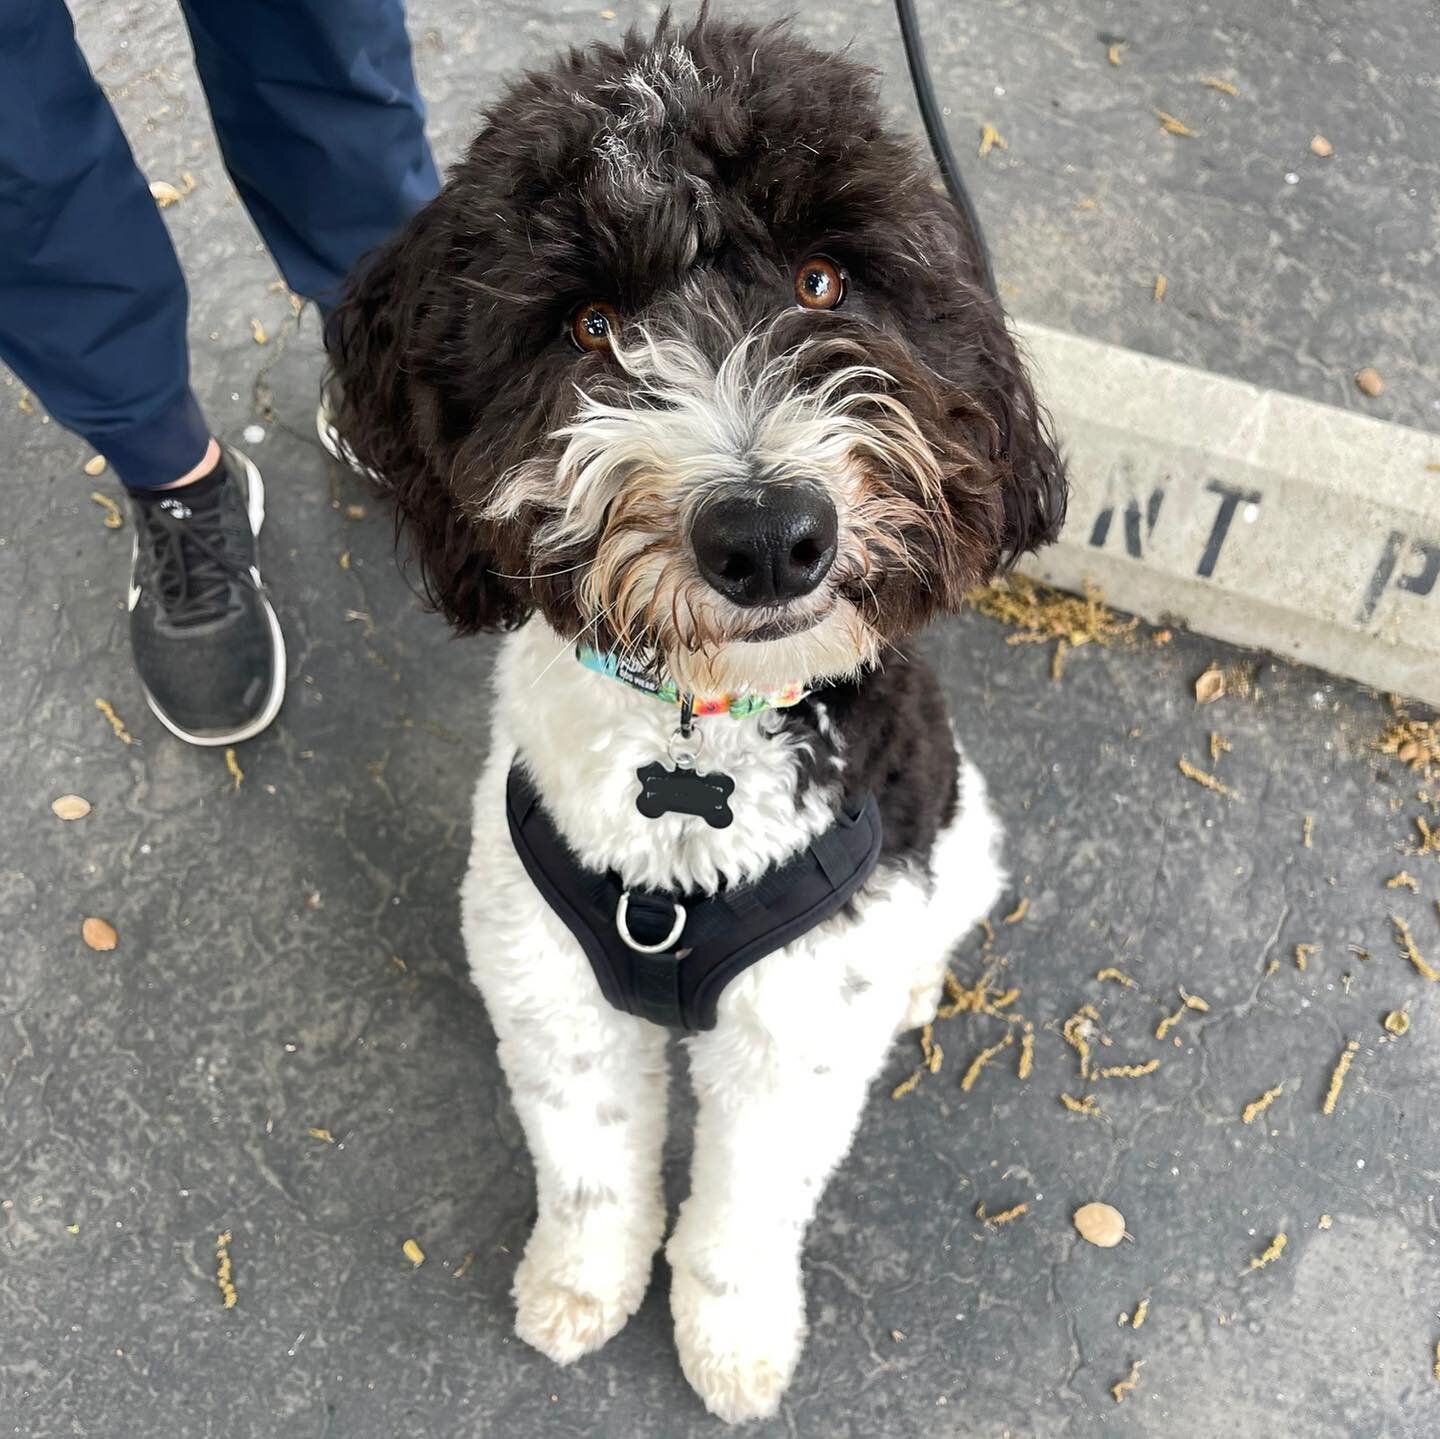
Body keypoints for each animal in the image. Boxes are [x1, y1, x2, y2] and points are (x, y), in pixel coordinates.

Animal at [331, 11, 1065, 1423]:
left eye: (826, 280)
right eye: (591, 322)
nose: (769, 535)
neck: (697, 740)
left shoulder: (798, 1030)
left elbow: (743, 1215)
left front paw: (731, 1342)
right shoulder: (549, 983)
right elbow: (591, 1165)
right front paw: (579, 1286)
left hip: (962, 825)